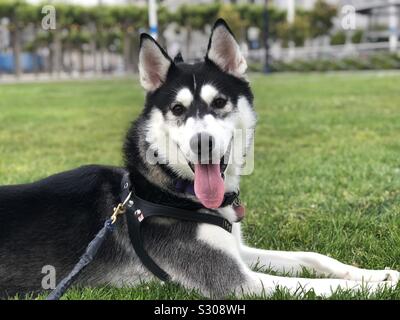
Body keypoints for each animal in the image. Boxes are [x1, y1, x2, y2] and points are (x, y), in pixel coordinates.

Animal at [0, 20, 400, 300]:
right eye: (177, 109)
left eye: (219, 102)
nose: (202, 143)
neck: (167, 191)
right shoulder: (236, 281)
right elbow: (324, 287)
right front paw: (377, 288)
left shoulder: (236, 250)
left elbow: (312, 259)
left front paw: (377, 274)